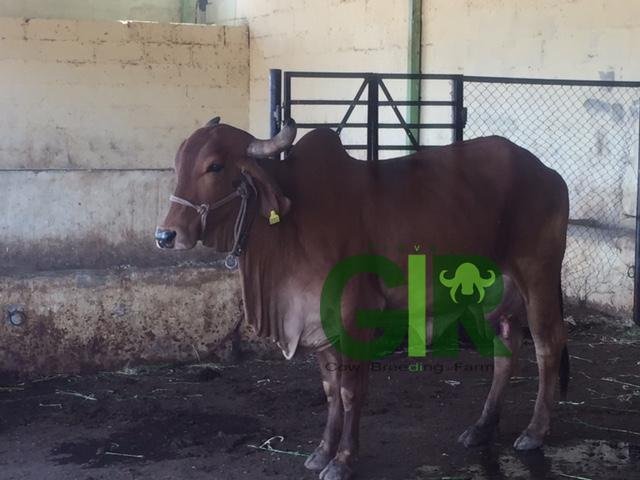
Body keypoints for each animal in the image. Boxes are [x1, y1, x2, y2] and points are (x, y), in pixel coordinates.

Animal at [155, 117, 570, 480]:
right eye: (178, 164)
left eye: (214, 166)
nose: (165, 235)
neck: (291, 225)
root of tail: (548, 172)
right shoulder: (316, 320)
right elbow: (330, 390)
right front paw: (321, 451)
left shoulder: (354, 317)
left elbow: (351, 391)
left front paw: (342, 460)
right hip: (493, 294)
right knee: (505, 351)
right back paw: (483, 427)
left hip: (538, 276)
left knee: (547, 347)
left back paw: (535, 431)